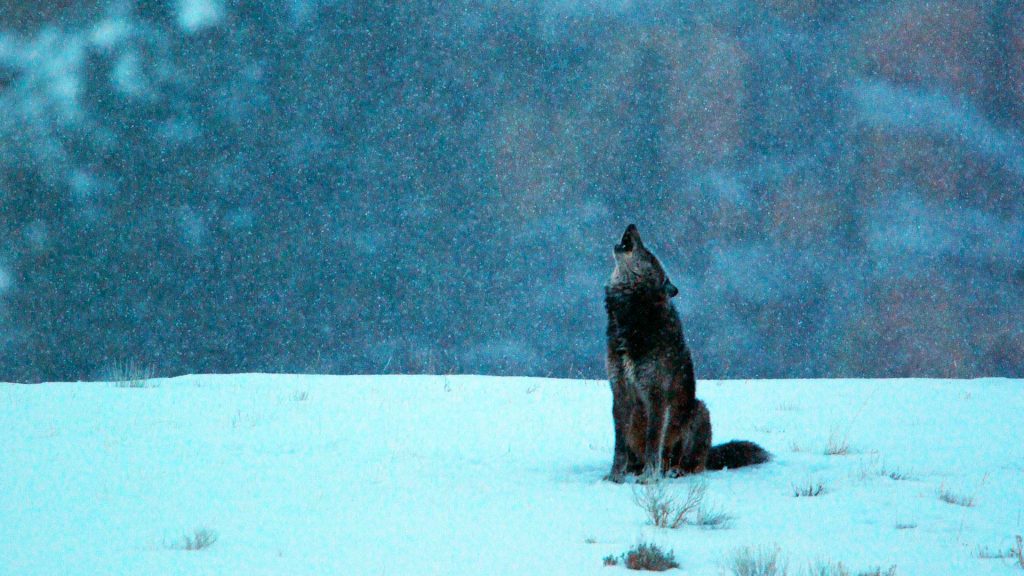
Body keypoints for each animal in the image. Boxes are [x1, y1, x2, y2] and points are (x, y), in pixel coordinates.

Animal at [598, 223, 770, 479]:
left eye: (649, 254)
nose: (632, 225)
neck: (632, 316)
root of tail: (710, 454)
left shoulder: (656, 394)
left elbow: (653, 442)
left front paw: (649, 478)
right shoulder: (620, 392)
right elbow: (619, 447)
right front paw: (615, 477)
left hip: (699, 410)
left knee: (692, 464)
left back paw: (673, 471)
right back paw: (636, 470)